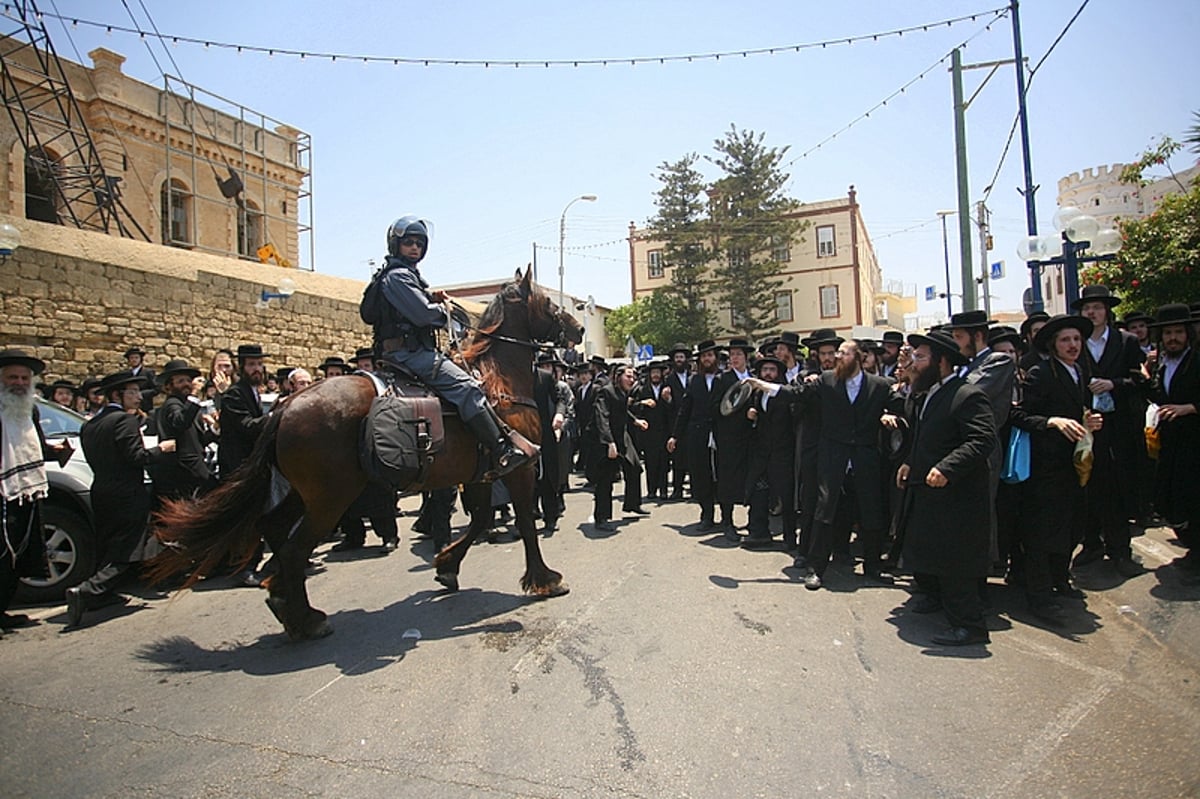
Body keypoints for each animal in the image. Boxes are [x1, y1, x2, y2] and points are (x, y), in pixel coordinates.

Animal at [154, 267, 585, 643]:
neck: (497, 380)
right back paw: (305, 619)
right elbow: (525, 521)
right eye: (549, 302)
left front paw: (447, 568)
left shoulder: (479, 473)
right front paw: (544, 578)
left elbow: (479, 520)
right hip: (330, 499)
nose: (578, 329)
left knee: (274, 528)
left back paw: (286, 602)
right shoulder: (517, 467)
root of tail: (283, 408)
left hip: (299, 494)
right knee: (294, 547)